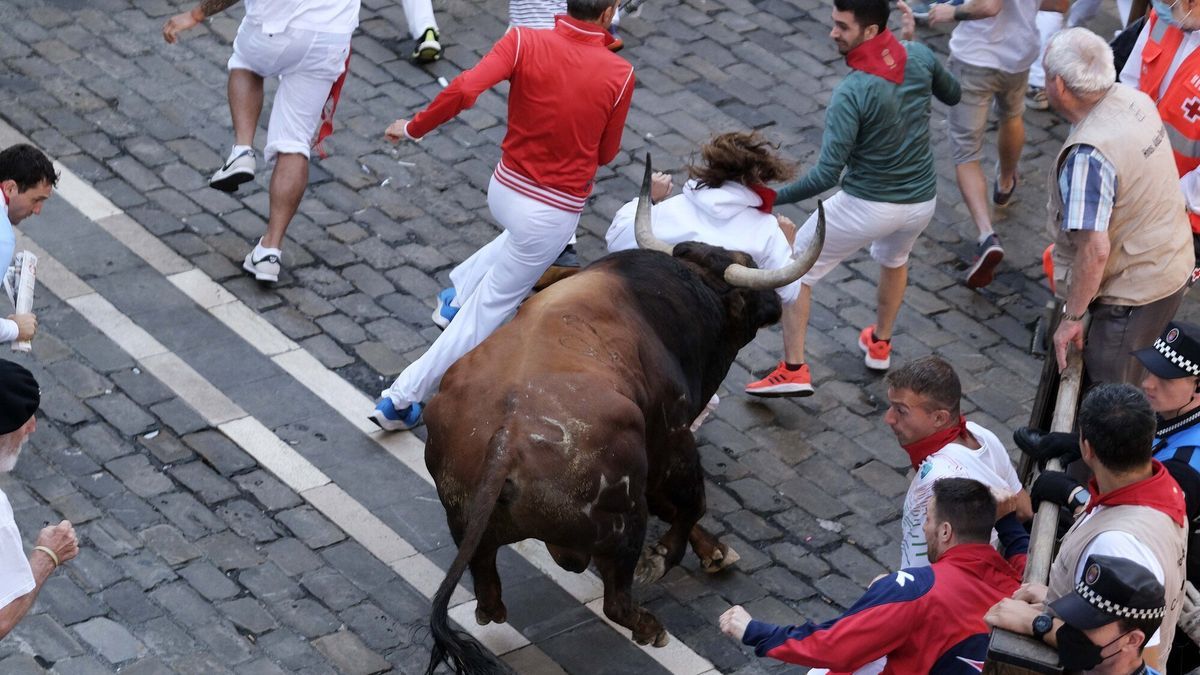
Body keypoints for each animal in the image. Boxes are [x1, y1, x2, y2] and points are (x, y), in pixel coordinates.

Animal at [422, 169, 825, 672]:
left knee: (488, 593)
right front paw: (673, 556)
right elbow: (689, 504)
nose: (775, 303)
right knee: (615, 595)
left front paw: (713, 551)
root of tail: (505, 444)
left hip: (465, 522)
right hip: (624, 520)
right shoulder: (672, 438)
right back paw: (649, 625)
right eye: (747, 266)